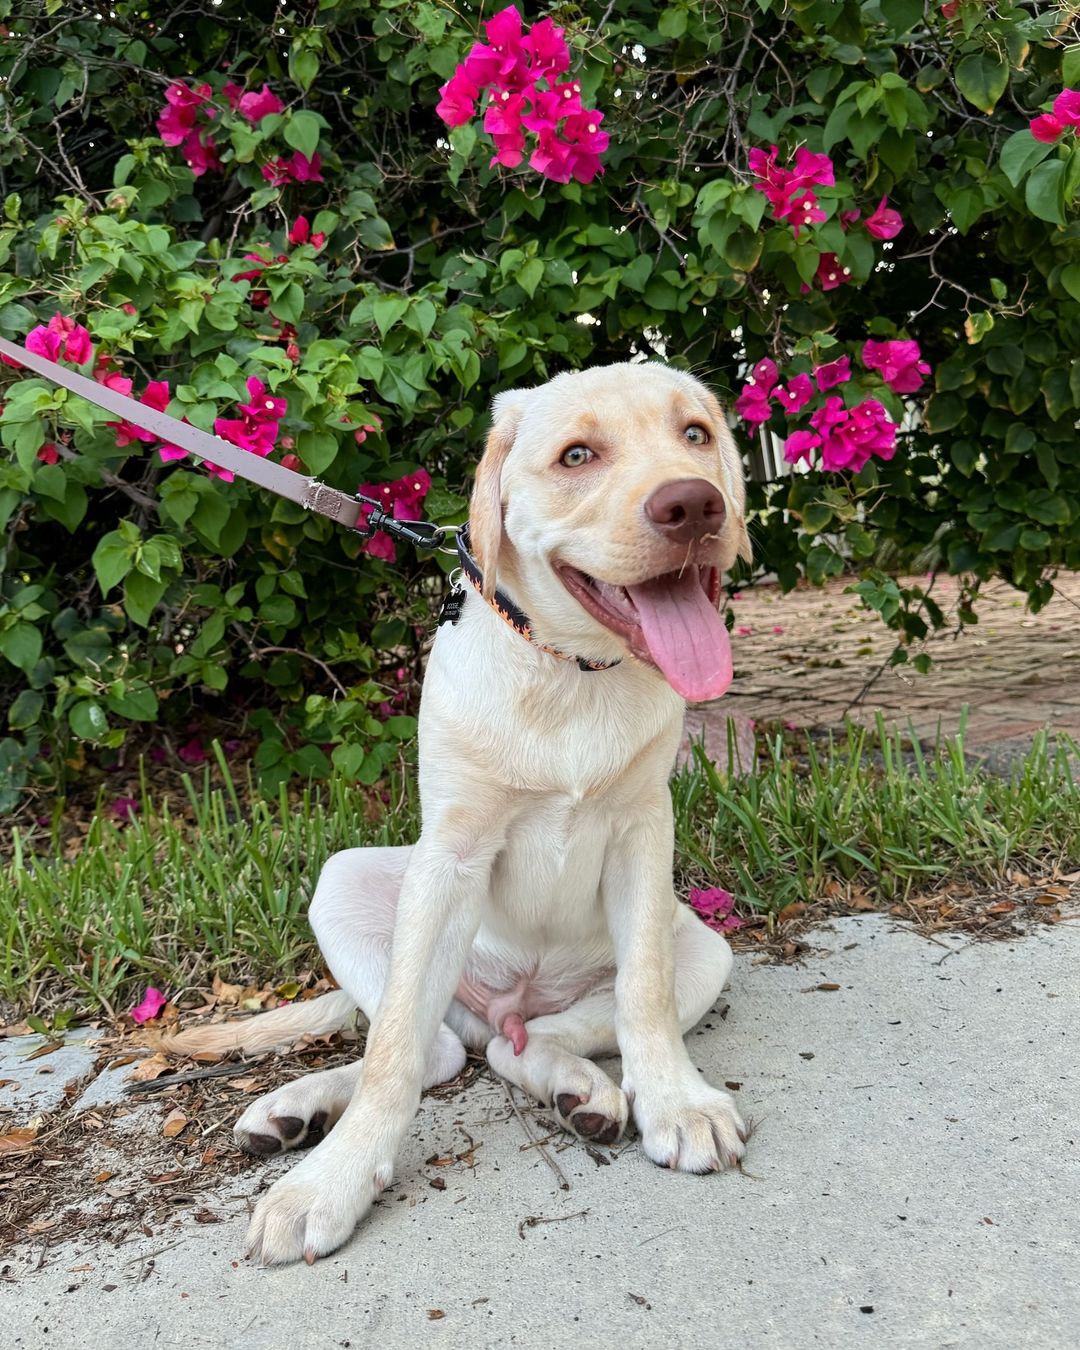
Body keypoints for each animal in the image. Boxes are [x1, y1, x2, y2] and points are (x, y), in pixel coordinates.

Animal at [166, 361, 750, 1263]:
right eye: (576, 455)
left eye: (697, 434)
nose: (695, 505)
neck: (570, 672)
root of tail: (506, 1005)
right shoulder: (451, 858)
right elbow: (393, 1049)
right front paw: (332, 1182)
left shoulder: (645, 835)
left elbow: (644, 994)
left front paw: (675, 1102)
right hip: (352, 883)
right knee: (432, 1045)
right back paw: (297, 1113)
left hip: (704, 947)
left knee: (532, 1043)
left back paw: (582, 1090)